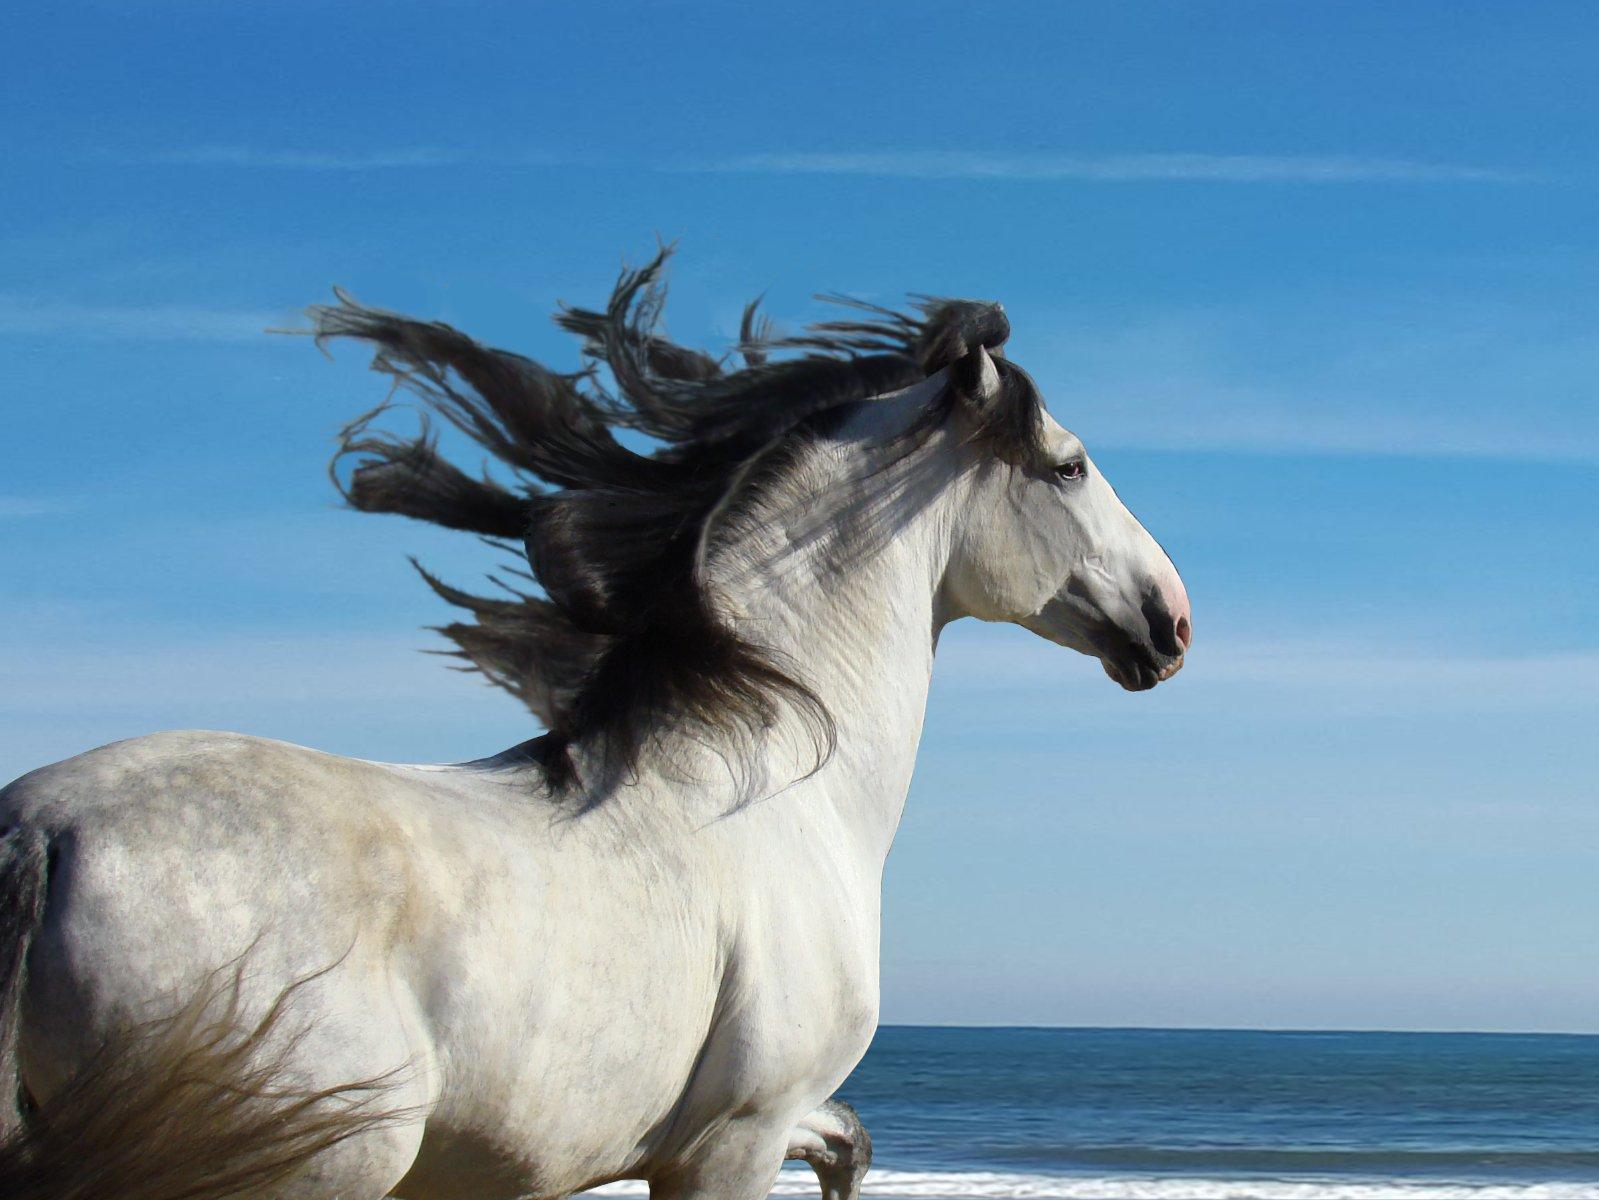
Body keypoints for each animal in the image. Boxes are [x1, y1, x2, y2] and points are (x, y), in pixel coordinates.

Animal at [0, 249, 1190, 1200]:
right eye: (1070, 465)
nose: (1171, 621)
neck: (778, 792)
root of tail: (44, 834)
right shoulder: (735, 1135)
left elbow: (848, 1137)